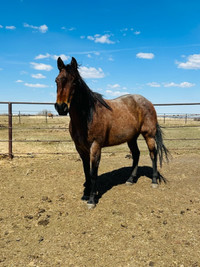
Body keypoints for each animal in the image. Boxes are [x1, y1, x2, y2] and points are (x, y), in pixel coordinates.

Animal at [54, 57, 169, 210]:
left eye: (75, 82)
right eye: (57, 80)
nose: (61, 107)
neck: (87, 116)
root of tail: (148, 102)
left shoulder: (95, 146)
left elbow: (93, 173)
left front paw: (91, 200)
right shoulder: (80, 148)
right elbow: (86, 171)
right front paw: (85, 194)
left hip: (149, 135)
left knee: (153, 153)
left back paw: (154, 181)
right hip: (131, 138)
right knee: (136, 154)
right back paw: (130, 180)